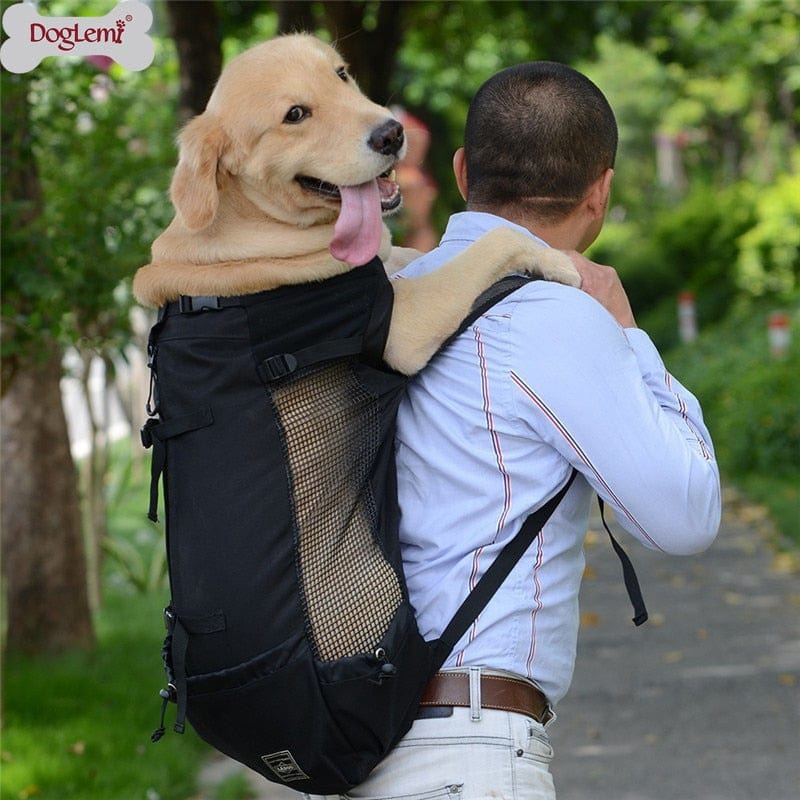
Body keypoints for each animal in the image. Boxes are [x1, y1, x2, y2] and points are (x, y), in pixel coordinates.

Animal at [134, 32, 580, 376]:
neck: (262, 219)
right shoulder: (403, 324)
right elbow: (498, 239)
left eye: (341, 74)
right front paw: (556, 259)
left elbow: (414, 252)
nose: (393, 134)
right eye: (295, 114)